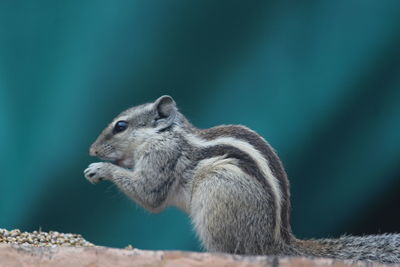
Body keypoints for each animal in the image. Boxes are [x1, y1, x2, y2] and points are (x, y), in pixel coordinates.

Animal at [83, 96, 398, 264]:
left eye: (121, 126)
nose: (92, 150)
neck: (167, 134)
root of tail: (274, 244)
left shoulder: (161, 158)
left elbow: (149, 193)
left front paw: (99, 169)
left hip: (217, 196)